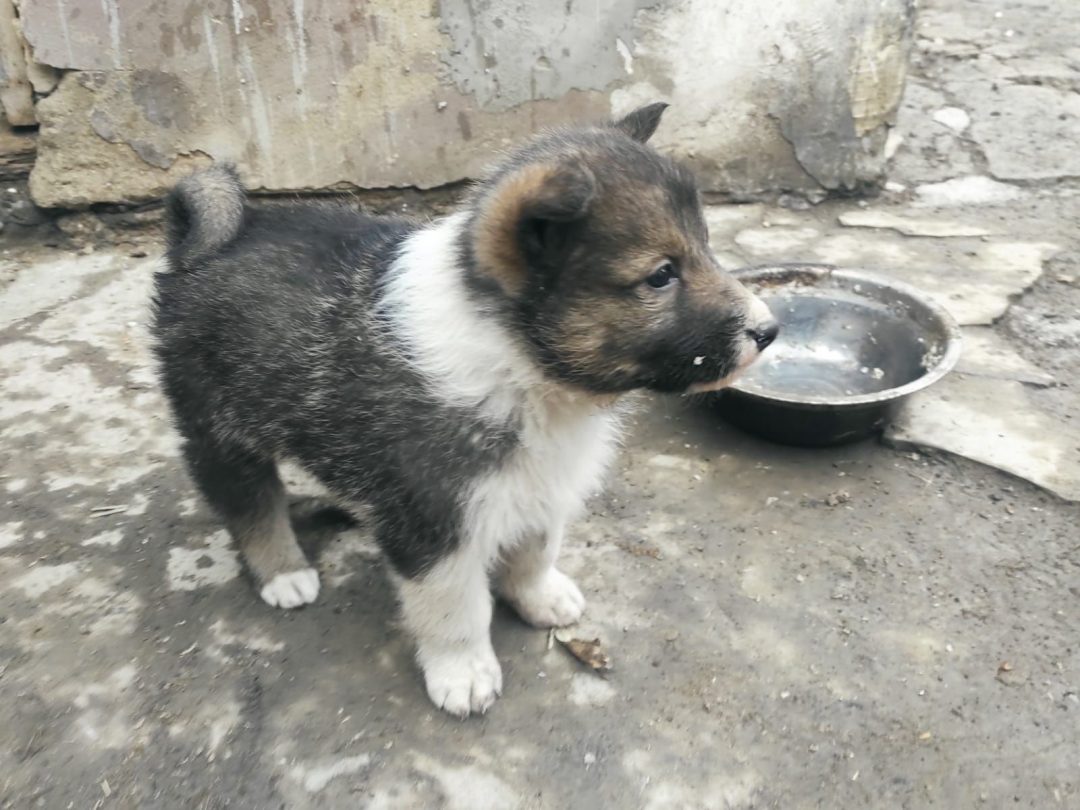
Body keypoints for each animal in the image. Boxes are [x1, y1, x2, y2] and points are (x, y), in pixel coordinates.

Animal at [152, 103, 777, 717]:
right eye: (662, 274)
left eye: (706, 248)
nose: (769, 331)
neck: (520, 364)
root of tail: (208, 239)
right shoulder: (436, 519)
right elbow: (456, 606)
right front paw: (464, 672)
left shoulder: (540, 481)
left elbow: (534, 550)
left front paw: (540, 597)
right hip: (218, 420)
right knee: (248, 501)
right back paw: (282, 572)